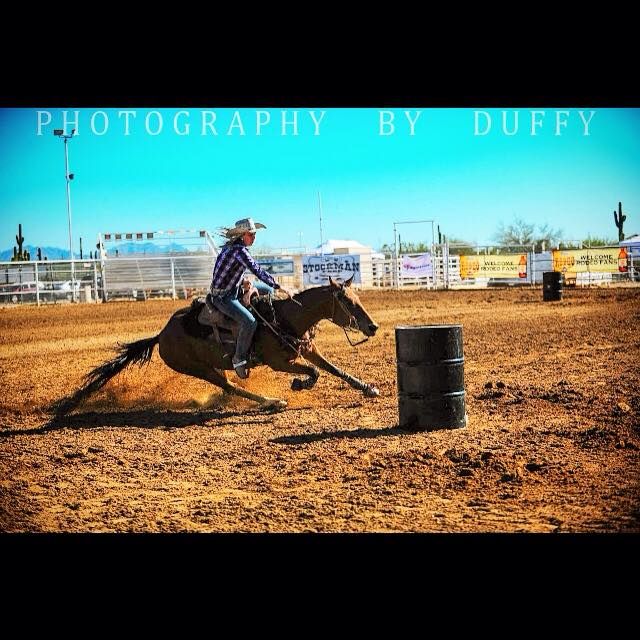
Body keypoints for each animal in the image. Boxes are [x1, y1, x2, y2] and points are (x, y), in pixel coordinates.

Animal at [55, 276, 380, 416]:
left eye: (358, 298)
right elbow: (315, 373)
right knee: (230, 386)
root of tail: (160, 335)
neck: (284, 317)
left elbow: (334, 369)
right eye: (348, 301)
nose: (372, 327)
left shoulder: (308, 350)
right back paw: (272, 401)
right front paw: (300, 385)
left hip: (210, 366)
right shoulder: (278, 362)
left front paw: (369, 389)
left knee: (229, 386)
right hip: (198, 369)